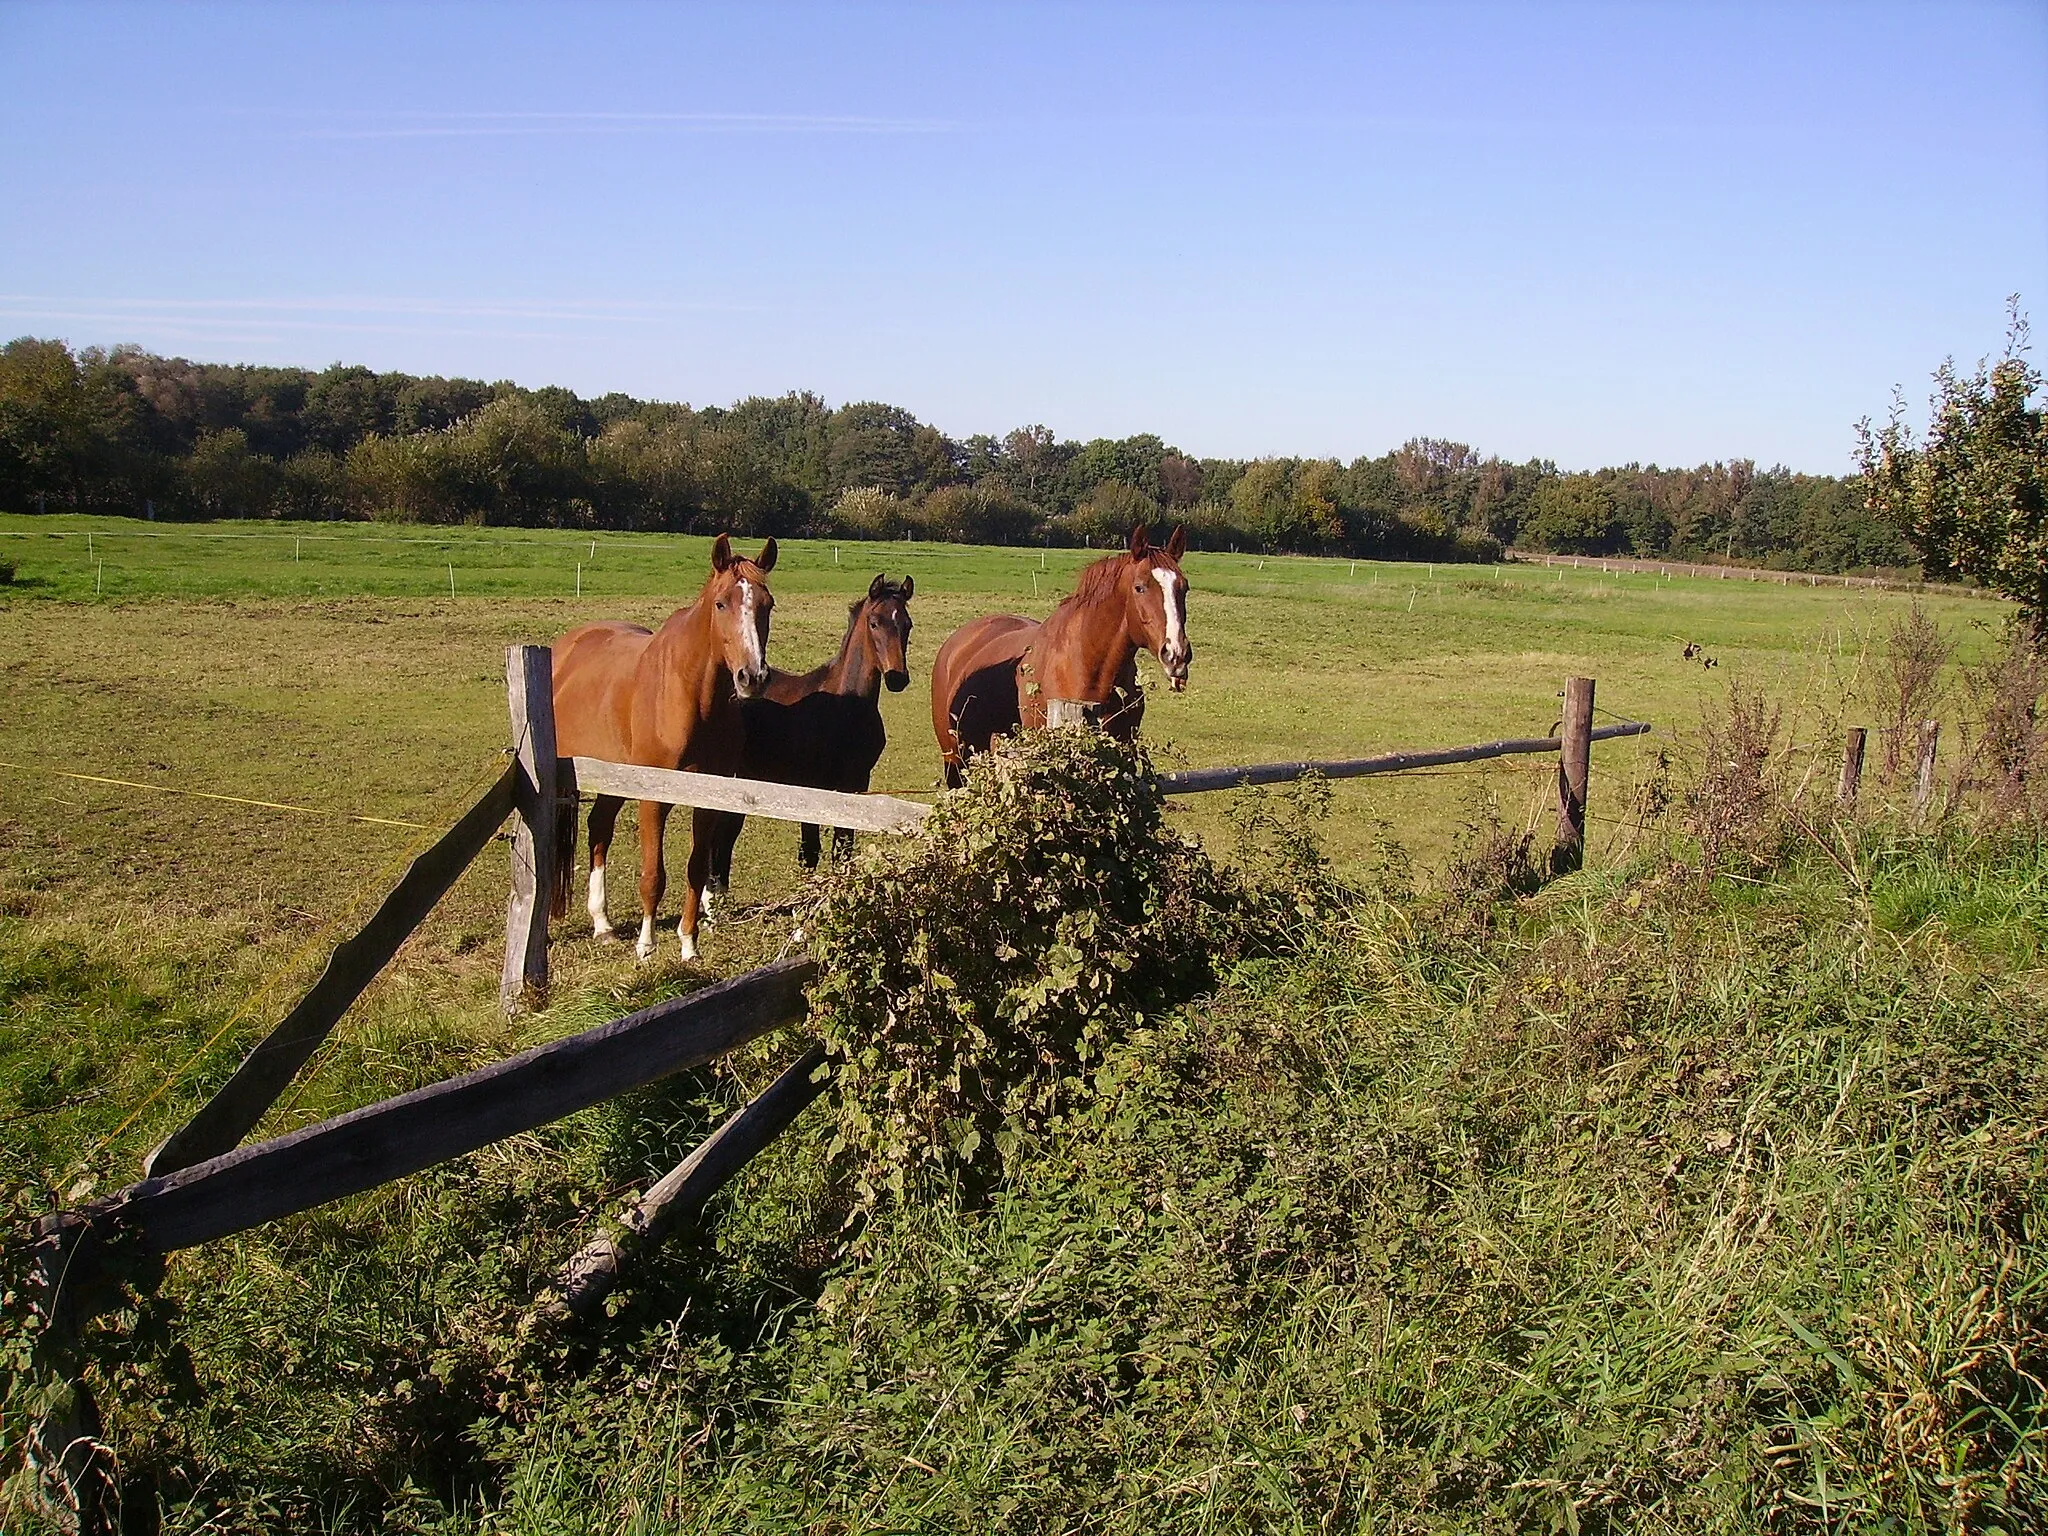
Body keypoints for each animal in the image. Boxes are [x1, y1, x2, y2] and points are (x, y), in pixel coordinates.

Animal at [552, 532, 774, 962]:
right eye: (721, 603)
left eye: (767, 604)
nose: (752, 677)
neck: (692, 698)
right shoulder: (653, 799)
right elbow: (653, 874)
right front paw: (646, 944)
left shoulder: (708, 799)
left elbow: (695, 869)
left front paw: (688, 943)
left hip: (613, 778)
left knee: (598, 829)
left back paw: (603, 924)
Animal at [704, 573, 921, 897]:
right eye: (874, 622)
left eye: (907, 624)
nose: (897, 678)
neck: (845, 708)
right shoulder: (810, 785)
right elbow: (810, 852)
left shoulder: (855, 784)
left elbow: (843, 849)